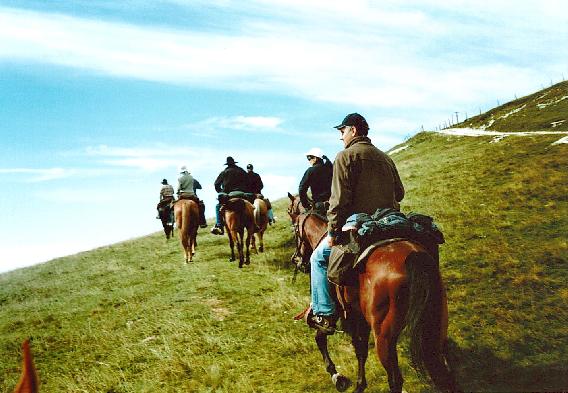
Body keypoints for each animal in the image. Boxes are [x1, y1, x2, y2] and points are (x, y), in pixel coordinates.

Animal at [286, 194, 460, 392]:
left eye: (292, 221)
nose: (296, 260)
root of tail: (414, 256)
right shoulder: (357, 317)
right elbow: (360, 350)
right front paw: (359, 384)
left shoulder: (343, 314)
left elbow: (321, 337)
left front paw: (337, 376)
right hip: (435, 327)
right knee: (444, 372)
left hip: (384, 339)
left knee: (395, 380)